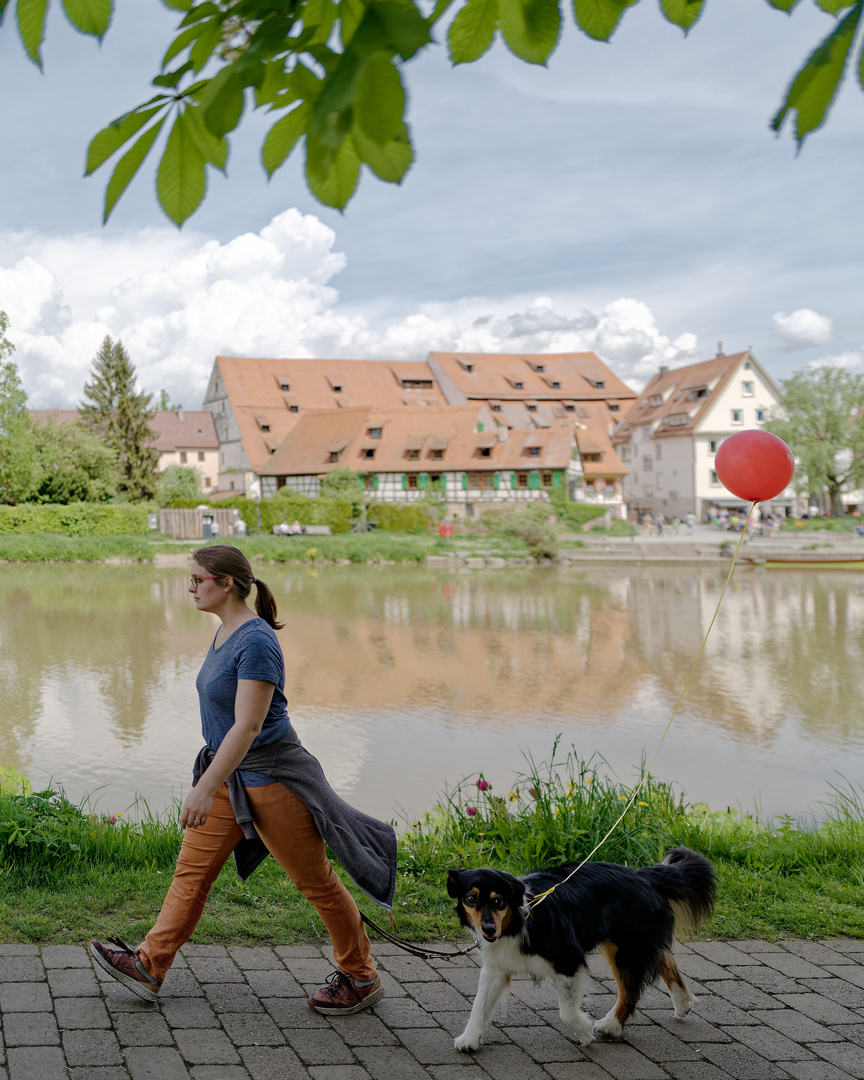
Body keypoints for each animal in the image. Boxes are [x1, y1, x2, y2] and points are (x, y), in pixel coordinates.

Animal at [444, 846, 717, 1049]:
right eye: (471, 899)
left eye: (498, 901)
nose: (489, 930)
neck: (518, 920)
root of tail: (643, 875)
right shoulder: (496, 966)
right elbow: (479, 1005)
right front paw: (469, 1039)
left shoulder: (567, 959)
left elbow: (566, 1012)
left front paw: (585, 1032)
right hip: (634, 943)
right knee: (666, 962)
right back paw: (682, 1003)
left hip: (624, 949)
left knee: (630, 991)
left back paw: (610, 1026)